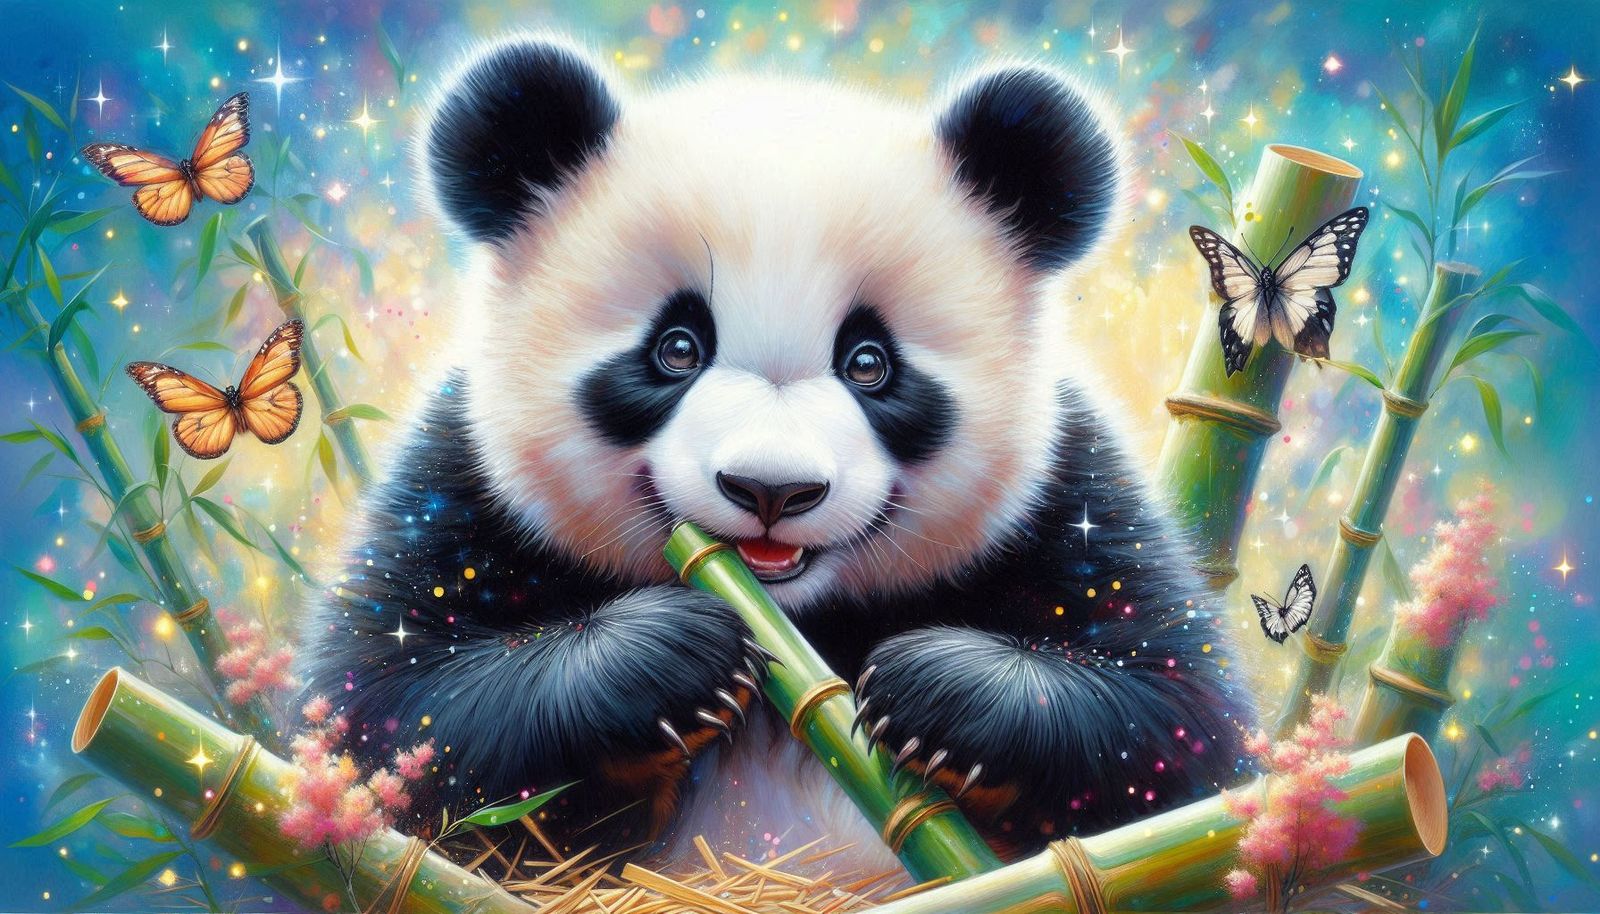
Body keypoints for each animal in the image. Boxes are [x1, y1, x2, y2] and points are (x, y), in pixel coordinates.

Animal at [301, 35, 1250, 870]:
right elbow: (387, 714)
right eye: (676, 348)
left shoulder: (1073, 499)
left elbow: (1184, 726)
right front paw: (672, 657)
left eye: (869, 363)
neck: (802, 618)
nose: (771, 490)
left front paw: (933, 694)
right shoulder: (456, 488)